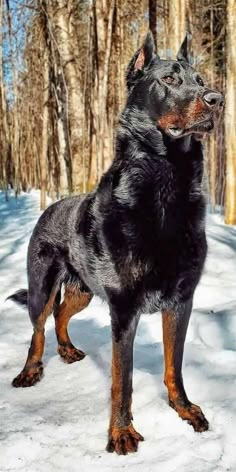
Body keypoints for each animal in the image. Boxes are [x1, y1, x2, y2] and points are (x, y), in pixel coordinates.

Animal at [8, 32, 223, 454]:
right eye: (169, 79)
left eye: (200, 78)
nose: (217, 99)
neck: (166, 183)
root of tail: (51, 206)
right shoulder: (124, 310)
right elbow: (121, 380)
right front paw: (121, 433)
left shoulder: (181, 302)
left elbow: (174, 366)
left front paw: (184, 409)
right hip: (43, 287)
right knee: (39, 327)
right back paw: (31, 371)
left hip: (83, 292)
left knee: (61, 316)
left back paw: (67, 350)